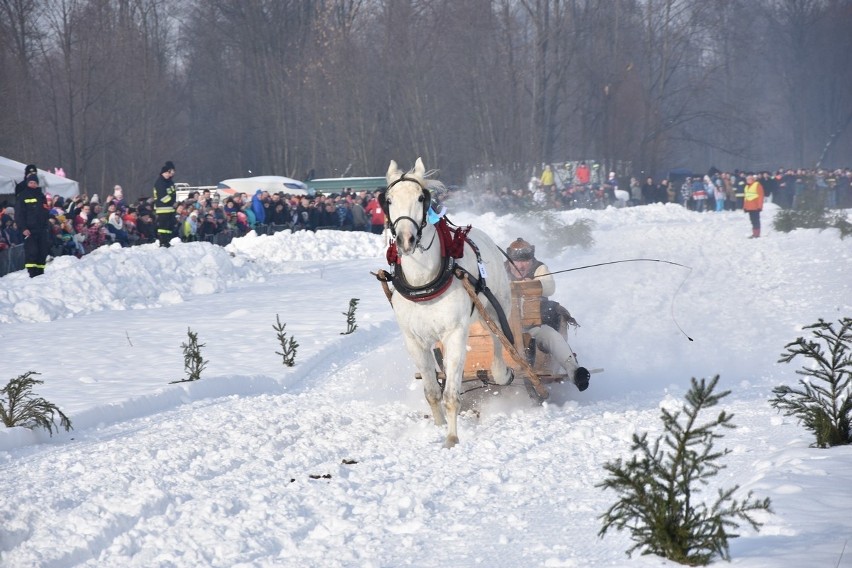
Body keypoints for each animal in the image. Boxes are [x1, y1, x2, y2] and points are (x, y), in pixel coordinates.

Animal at [384, 158, 512, 446]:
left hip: (495, 308)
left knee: (499, 339)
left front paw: (452, 437)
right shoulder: (414, 340)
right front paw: (438, 426)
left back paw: (502, 372)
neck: (423, 283)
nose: (405, 240)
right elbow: (432, 391)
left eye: (421, 198)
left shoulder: (454, 334)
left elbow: (451, 395)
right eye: (389, 200)